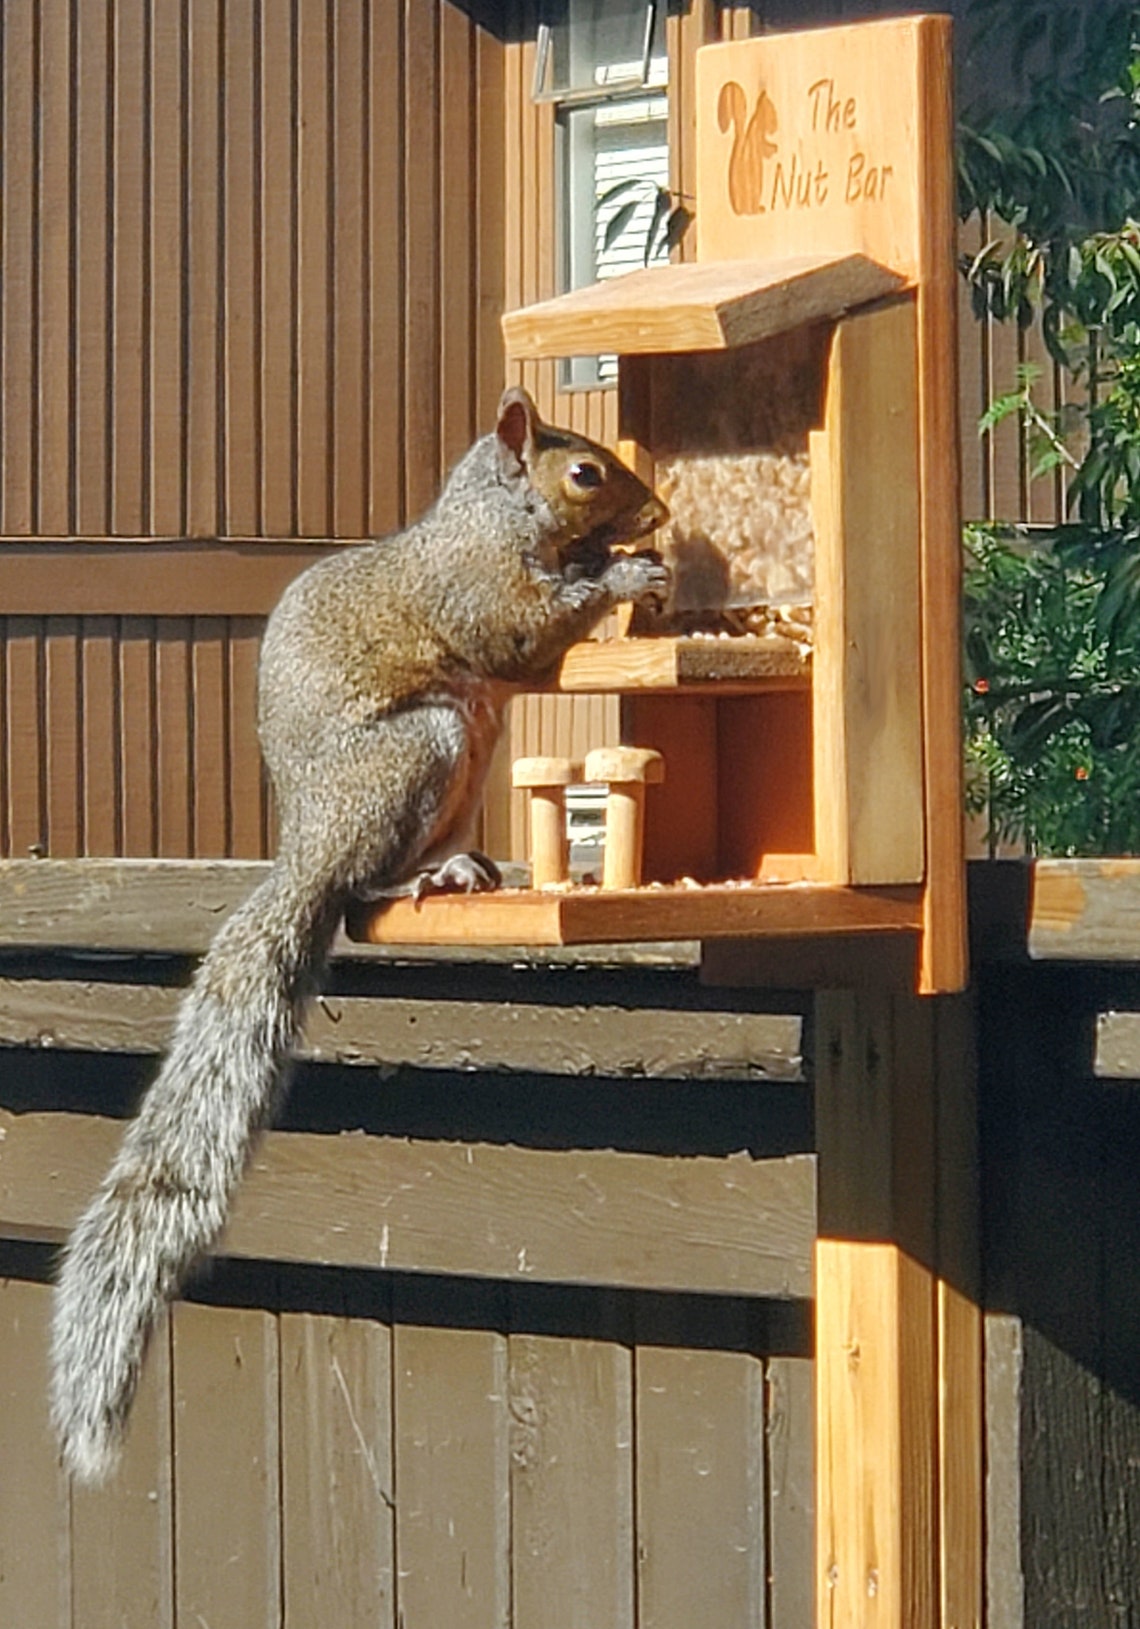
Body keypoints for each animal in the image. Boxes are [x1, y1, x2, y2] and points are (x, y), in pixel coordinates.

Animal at [50, 386, 669, 1482]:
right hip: (424, 749)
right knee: (361, 890)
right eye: (585, 473)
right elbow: (527, 628)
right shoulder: (477, 593)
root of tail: (308, 845)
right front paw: (625, 574)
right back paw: (423, 873)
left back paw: (467, 868)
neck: (492, 517)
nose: (659, 515)